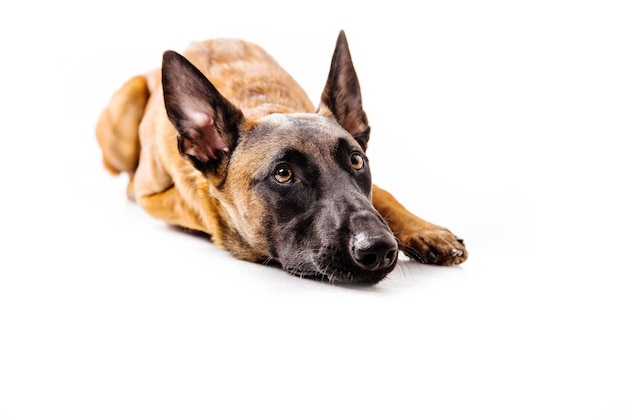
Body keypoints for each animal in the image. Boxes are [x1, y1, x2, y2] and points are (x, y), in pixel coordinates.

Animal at [96, 30, 464, 284]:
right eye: (283, 174)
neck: (265, 105)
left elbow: (381, 195)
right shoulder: (157, 195)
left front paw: (425, 230)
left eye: (357, 161)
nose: (379, 249)